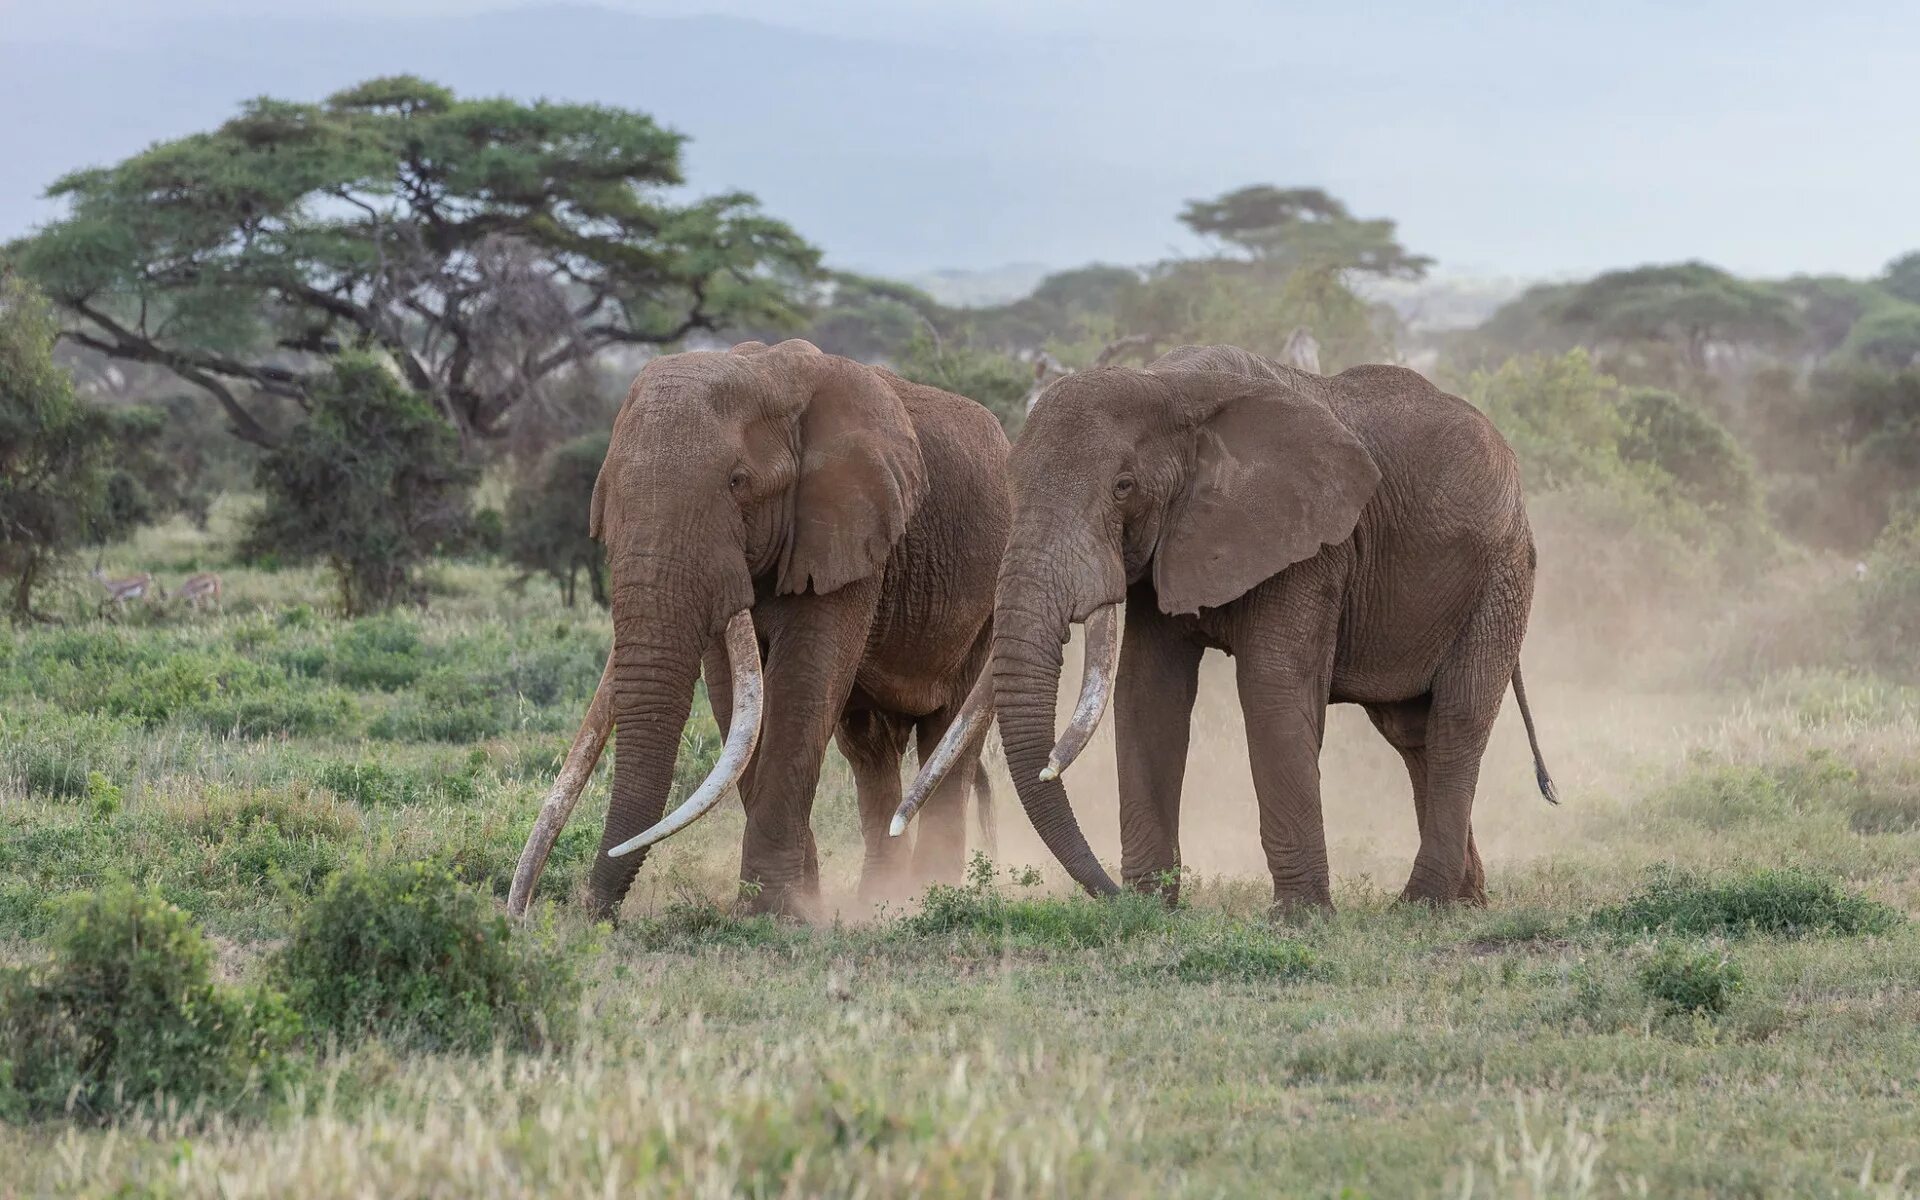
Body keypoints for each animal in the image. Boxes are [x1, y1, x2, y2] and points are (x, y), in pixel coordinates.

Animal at [510, 337, 1021, 917]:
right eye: (609, 488)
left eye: (738, 483)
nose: (590, 913)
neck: (764, 372)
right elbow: (733, 698)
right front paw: (797, 904)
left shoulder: (846, 533)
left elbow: (801, 687)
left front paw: (771, 914)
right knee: (867, 748)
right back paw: (878, 898)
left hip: (988, 598)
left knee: (947, 731)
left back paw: (928, 897)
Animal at [902, 341, 1559, 913]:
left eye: (1123, 487)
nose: (1110, 895)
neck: (1170, 386)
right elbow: (1147, 693)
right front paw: (1152, 910)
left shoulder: (1310, 544)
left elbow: (1272, 692)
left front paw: (1298, 918)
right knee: (1410, 732)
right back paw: (1463, 902)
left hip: (1501, 573)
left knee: (1456, 720)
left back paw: (1420, 906)